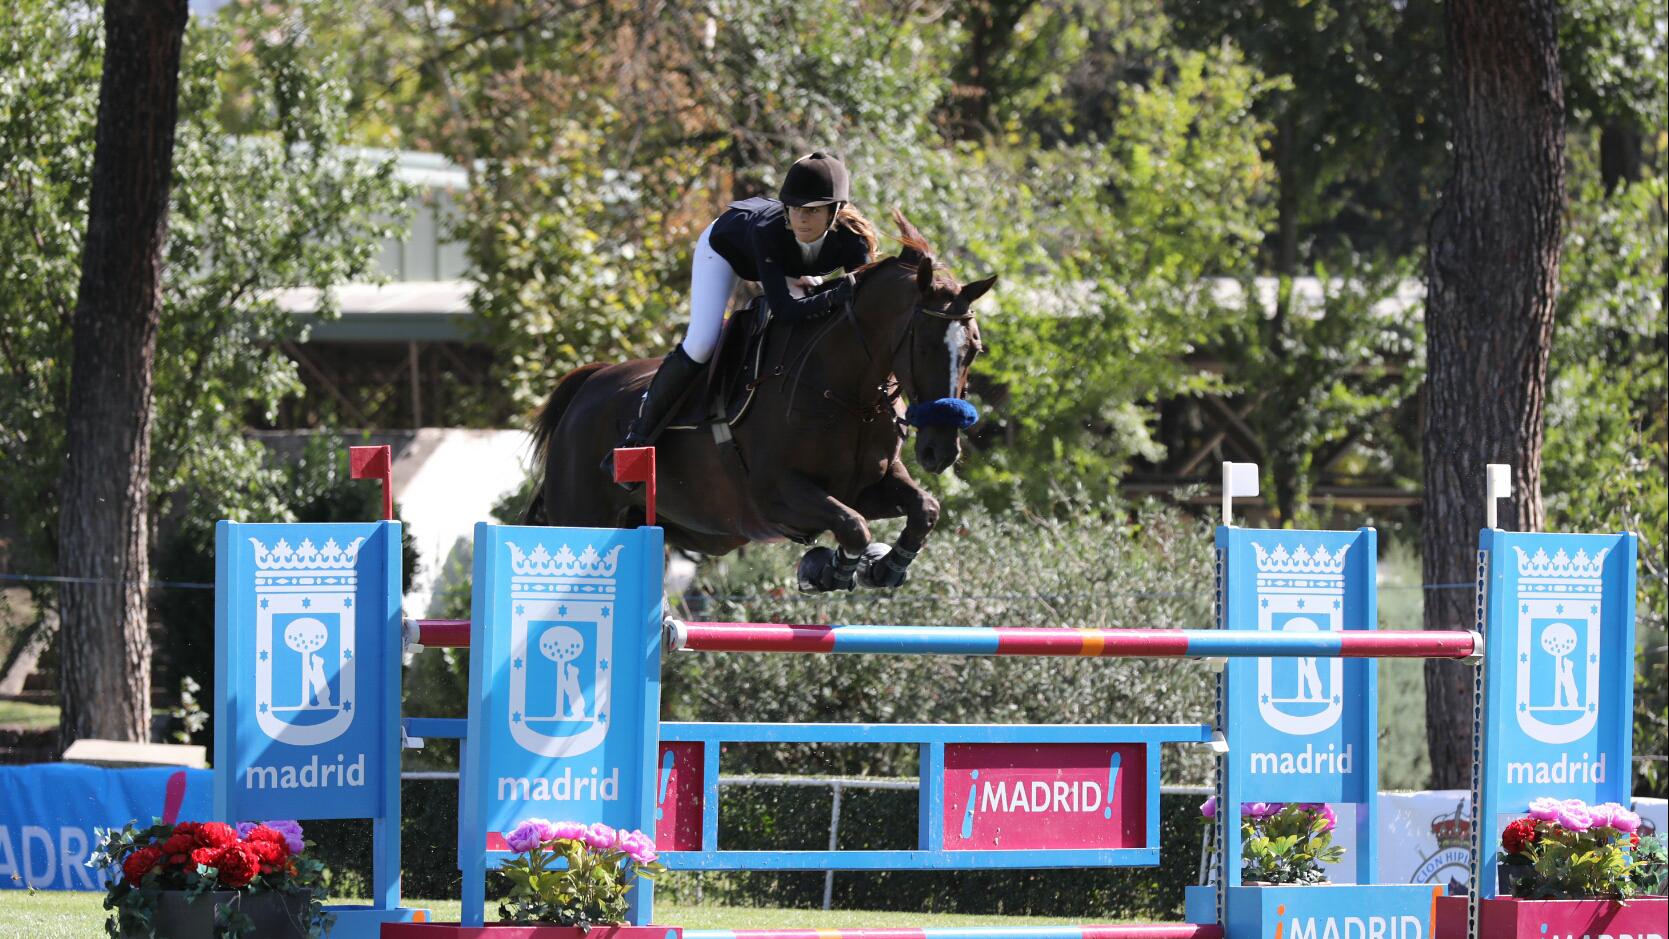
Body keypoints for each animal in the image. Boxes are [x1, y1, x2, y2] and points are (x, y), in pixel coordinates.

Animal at [520, 216, 988, 590]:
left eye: (974, 351)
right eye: (924, 346)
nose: (941, 450)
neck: (848, 394)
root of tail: (589, 383)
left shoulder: (868, 486)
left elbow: (924, 508)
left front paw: (884, 568)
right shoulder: (777, 493)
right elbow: (853, 526)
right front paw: (828, 571)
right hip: (582, 515)